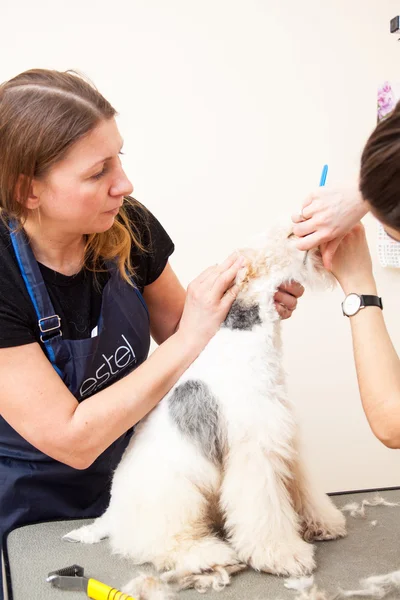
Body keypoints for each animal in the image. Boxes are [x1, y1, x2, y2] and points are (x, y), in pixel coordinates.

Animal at [65, 223, 346, 592]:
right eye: (288, 235)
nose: (310, 231)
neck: (246, 336)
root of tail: (109, 517)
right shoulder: (255, 452)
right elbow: (266, 513)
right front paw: (285, 556)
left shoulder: (285, 441)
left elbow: (305, 491)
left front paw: (324, 523)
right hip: (177, 500)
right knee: (163, 544)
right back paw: (212, 555)